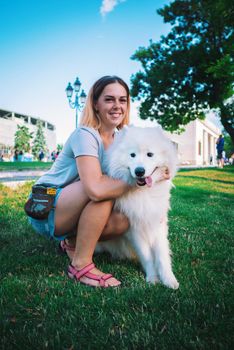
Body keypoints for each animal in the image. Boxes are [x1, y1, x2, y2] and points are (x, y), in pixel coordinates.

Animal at [95, 126, 179, 290]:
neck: (144, 191)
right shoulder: (134, 229)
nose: (139, 171)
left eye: (150, 154)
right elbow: (147, 256)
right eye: (132, 155)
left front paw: (169, 279)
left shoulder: (157, 224)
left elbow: (162, 256)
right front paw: (152, 278)